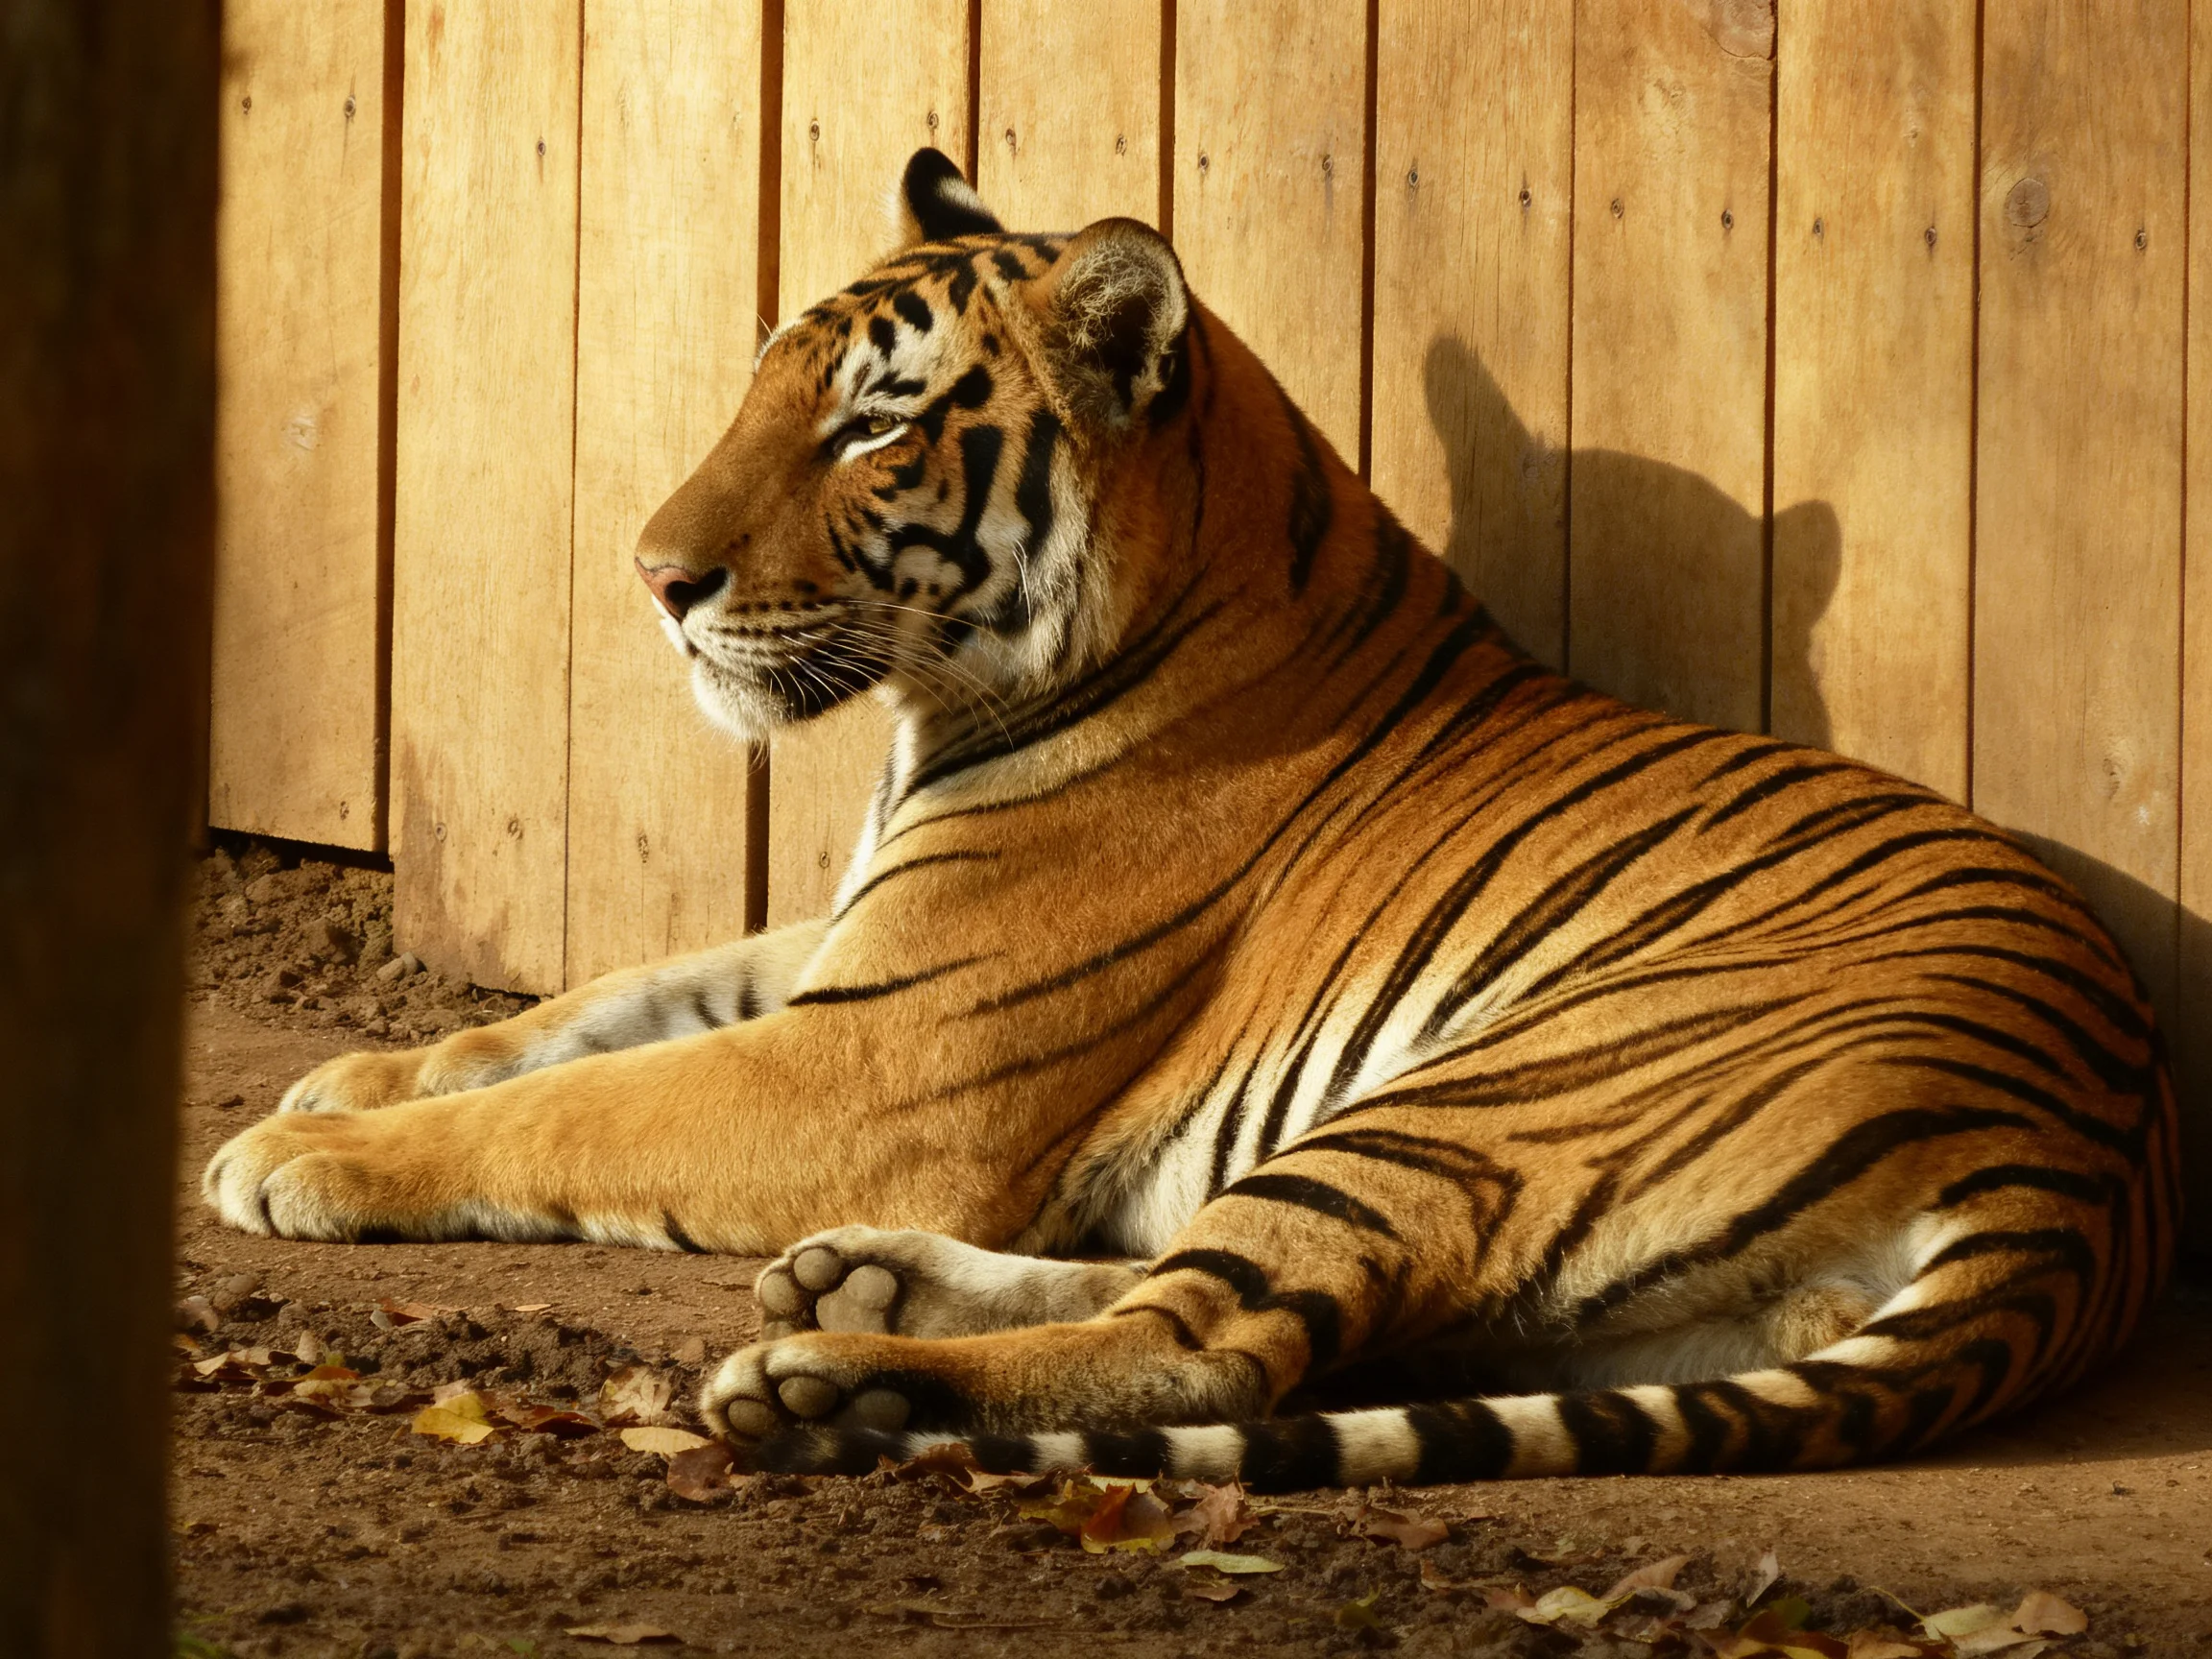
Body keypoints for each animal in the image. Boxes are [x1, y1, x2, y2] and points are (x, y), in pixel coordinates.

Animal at [204, 147, 2181, 1491]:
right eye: (762, 387)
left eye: (871, 430)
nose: (652, 579)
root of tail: (2093, 1172)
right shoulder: (843, 951)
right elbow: (596, 1002)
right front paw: (350, 1080)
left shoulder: (876, 1056)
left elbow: (581, 1104)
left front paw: (303, 1158)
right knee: (1224, 1299)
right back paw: (859, 1288)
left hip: (1479, 1099)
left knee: (1212, 1340)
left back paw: (840, 1376)